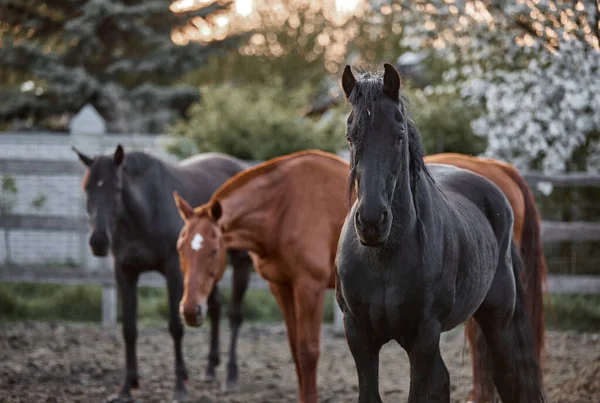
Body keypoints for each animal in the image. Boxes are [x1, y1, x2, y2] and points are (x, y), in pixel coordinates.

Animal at [72, 144, 253, 400]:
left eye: (117, 188)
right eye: (87, 188)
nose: (98, 241)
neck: (147, 209)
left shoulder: (174, 271)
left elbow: (176, 326)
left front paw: (179, 388)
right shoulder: (125, 272)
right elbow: (129, 328)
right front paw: (126, 387)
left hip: (241, 261)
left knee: (235, 315)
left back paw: (231, 376)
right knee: (215, 307)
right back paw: (210, 369)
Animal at [336, 64, 548, 402]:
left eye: (399, 137)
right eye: (350, 136)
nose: (371, 221)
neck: (384, 258)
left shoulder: (424, 337)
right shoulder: (358, 336)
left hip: (498, 323)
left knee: (510, 379)